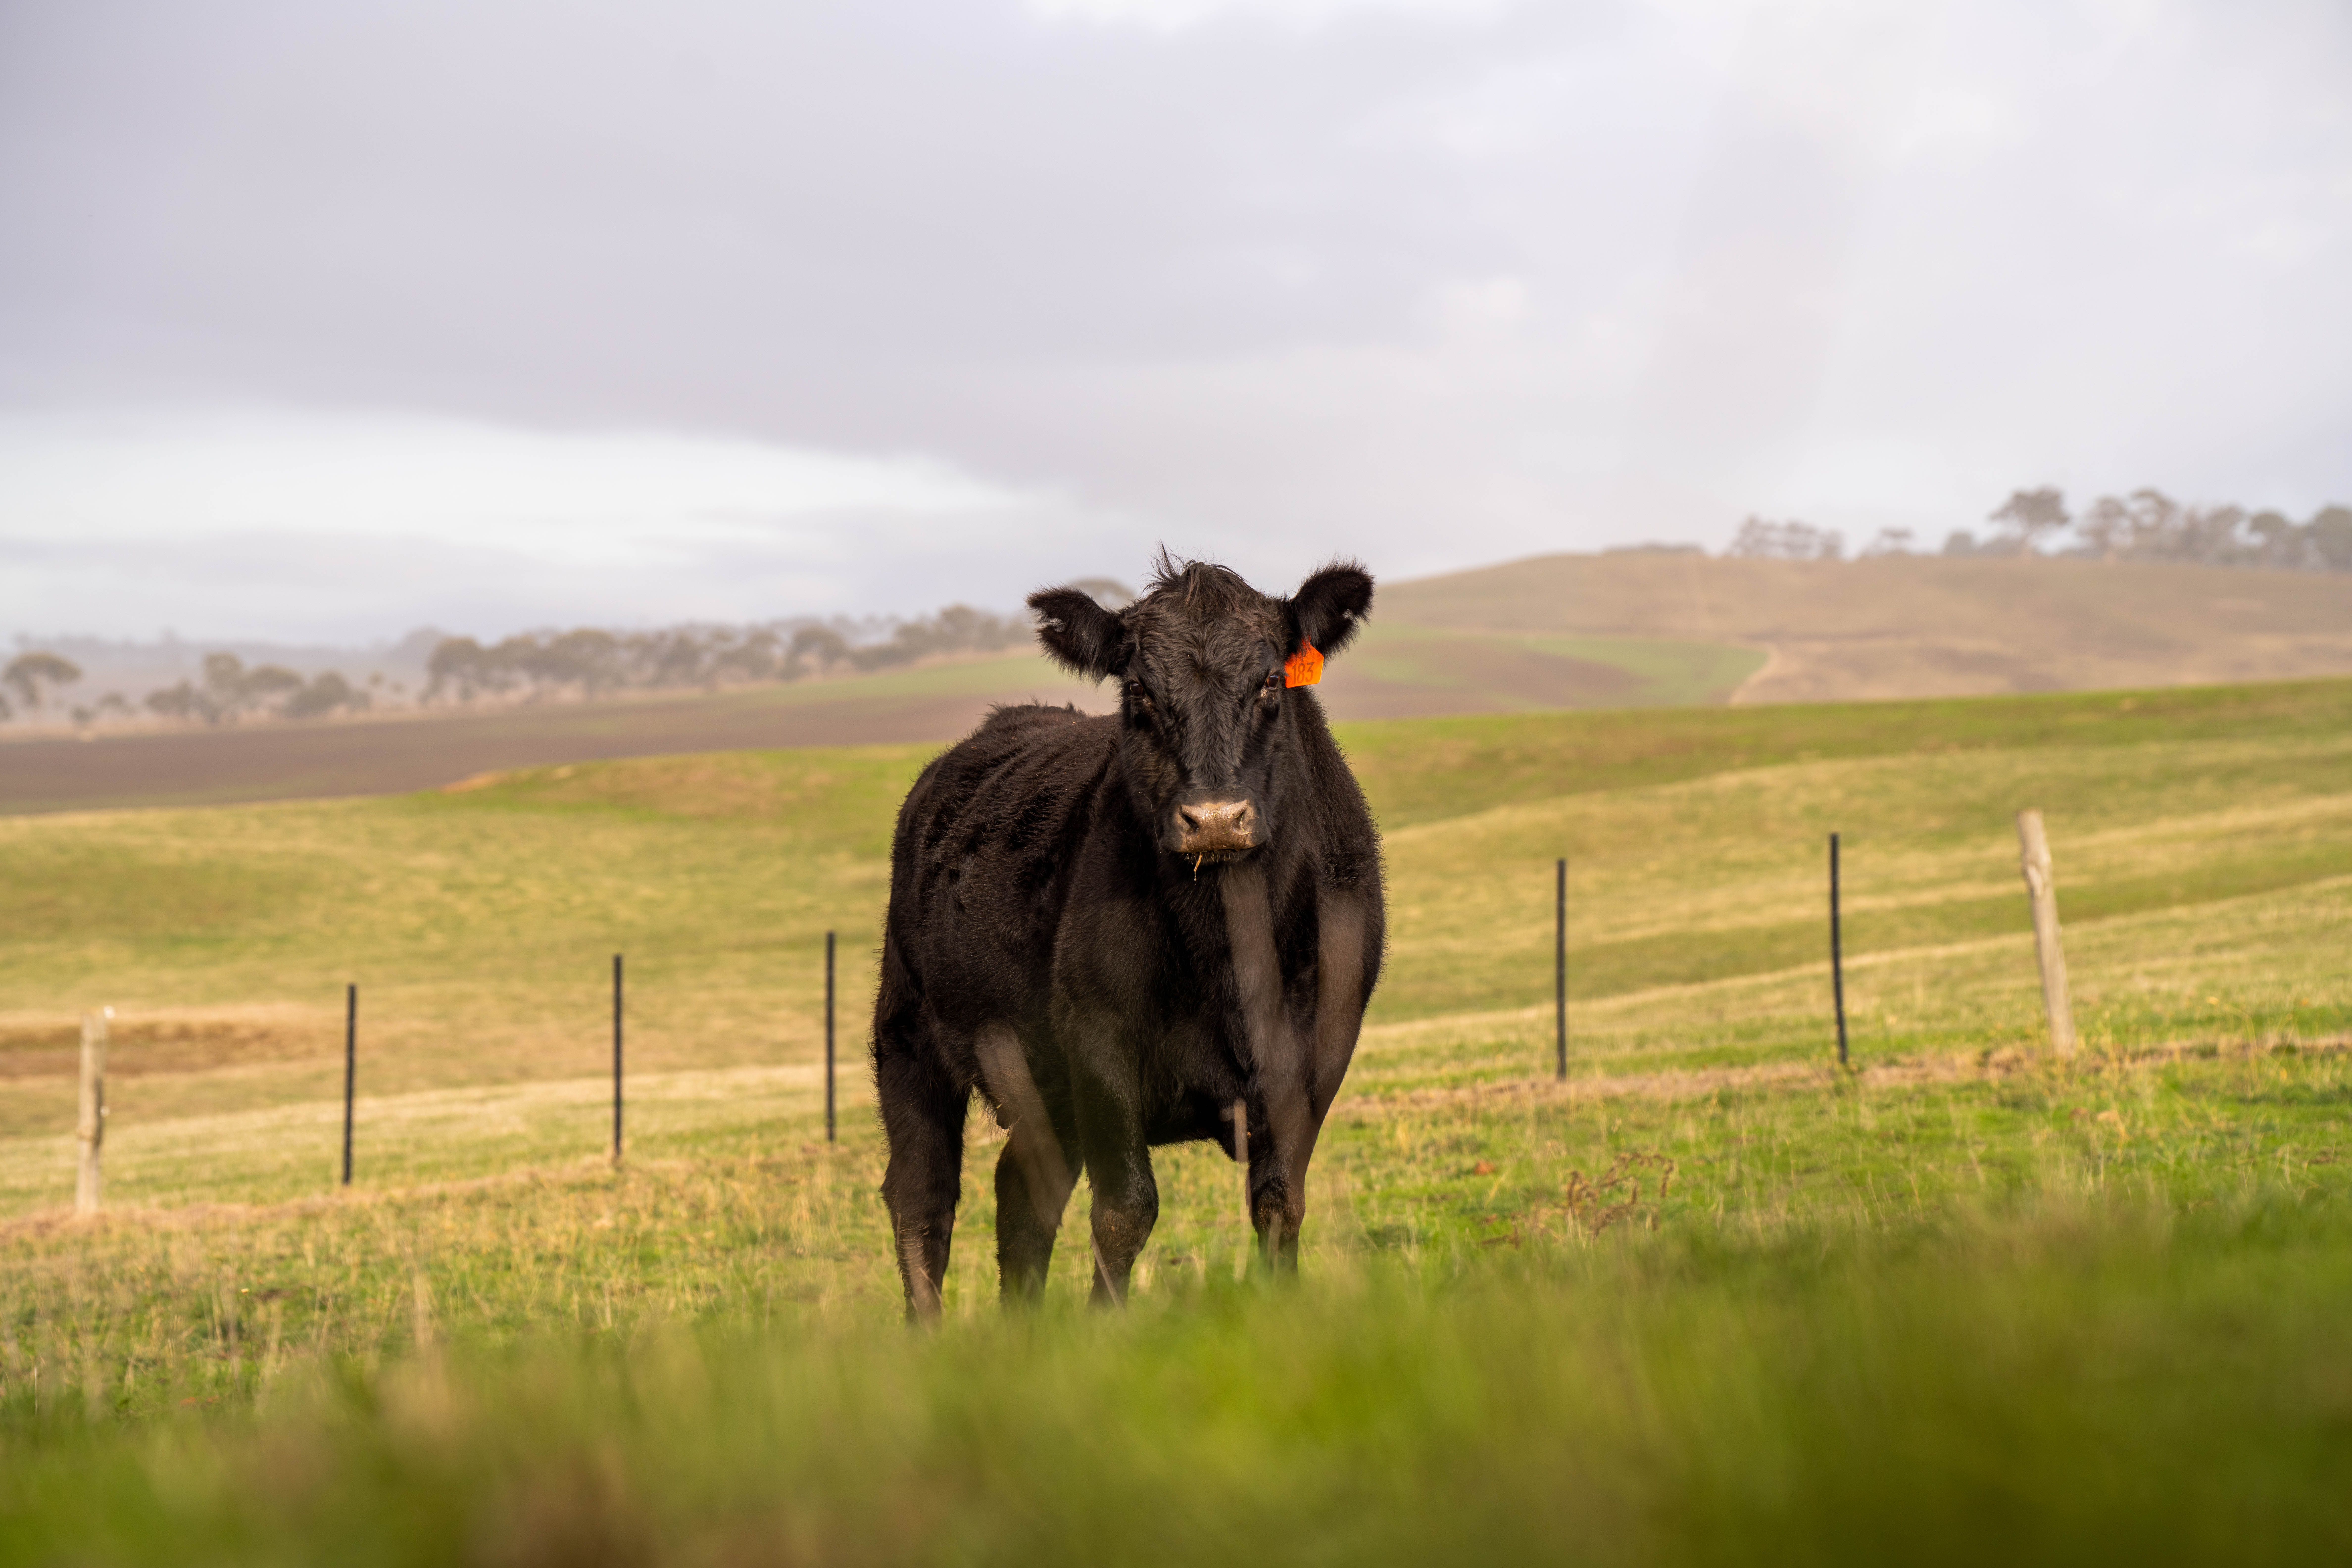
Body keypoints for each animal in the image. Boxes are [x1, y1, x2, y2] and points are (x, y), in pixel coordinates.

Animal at [870, 556, 1386, 1318]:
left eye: (1270, 681)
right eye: (1138, 689)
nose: (1214, 819)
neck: (1232, 949)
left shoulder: (1320, 1046)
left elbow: (1279, 1201)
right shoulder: (1099, 1043)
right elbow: (1126, 1210)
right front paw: (1103, 1329)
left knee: (1023, 1191)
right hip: (908, 1033)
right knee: (921, 1198)